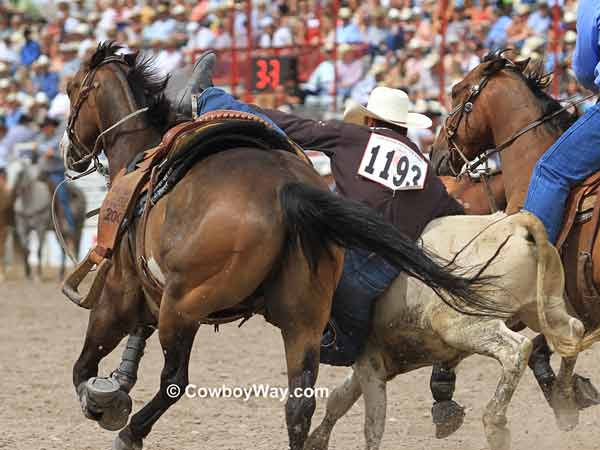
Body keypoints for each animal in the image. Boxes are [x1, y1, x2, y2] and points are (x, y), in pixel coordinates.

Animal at [62, 42, 502, 450]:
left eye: (71, 88)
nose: (71, 152)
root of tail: (284, 189)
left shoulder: (121, 289)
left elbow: (85, 364)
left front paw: (103, 402)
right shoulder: (148, 291)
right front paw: (118, 383)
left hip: (185, 305)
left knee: (175, 380)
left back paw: (132, 432)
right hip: (302, 318)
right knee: (299, 404)